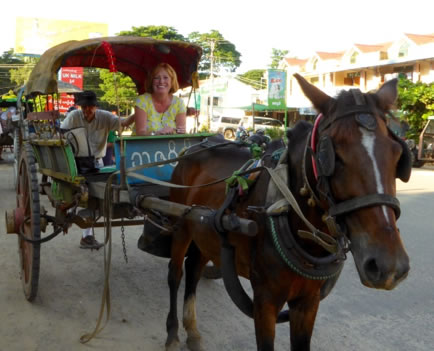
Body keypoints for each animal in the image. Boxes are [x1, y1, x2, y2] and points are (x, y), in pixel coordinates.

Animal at [164, 73, 410, 350]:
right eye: (333, 155)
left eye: (397, 155)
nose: (389, 266)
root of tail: (195, 147)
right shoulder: (265, 302)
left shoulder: (308, 301)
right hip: (180, 223)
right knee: (176, 273)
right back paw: (172, 332)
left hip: (204, 232)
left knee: (194, 268)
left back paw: (192, 329)